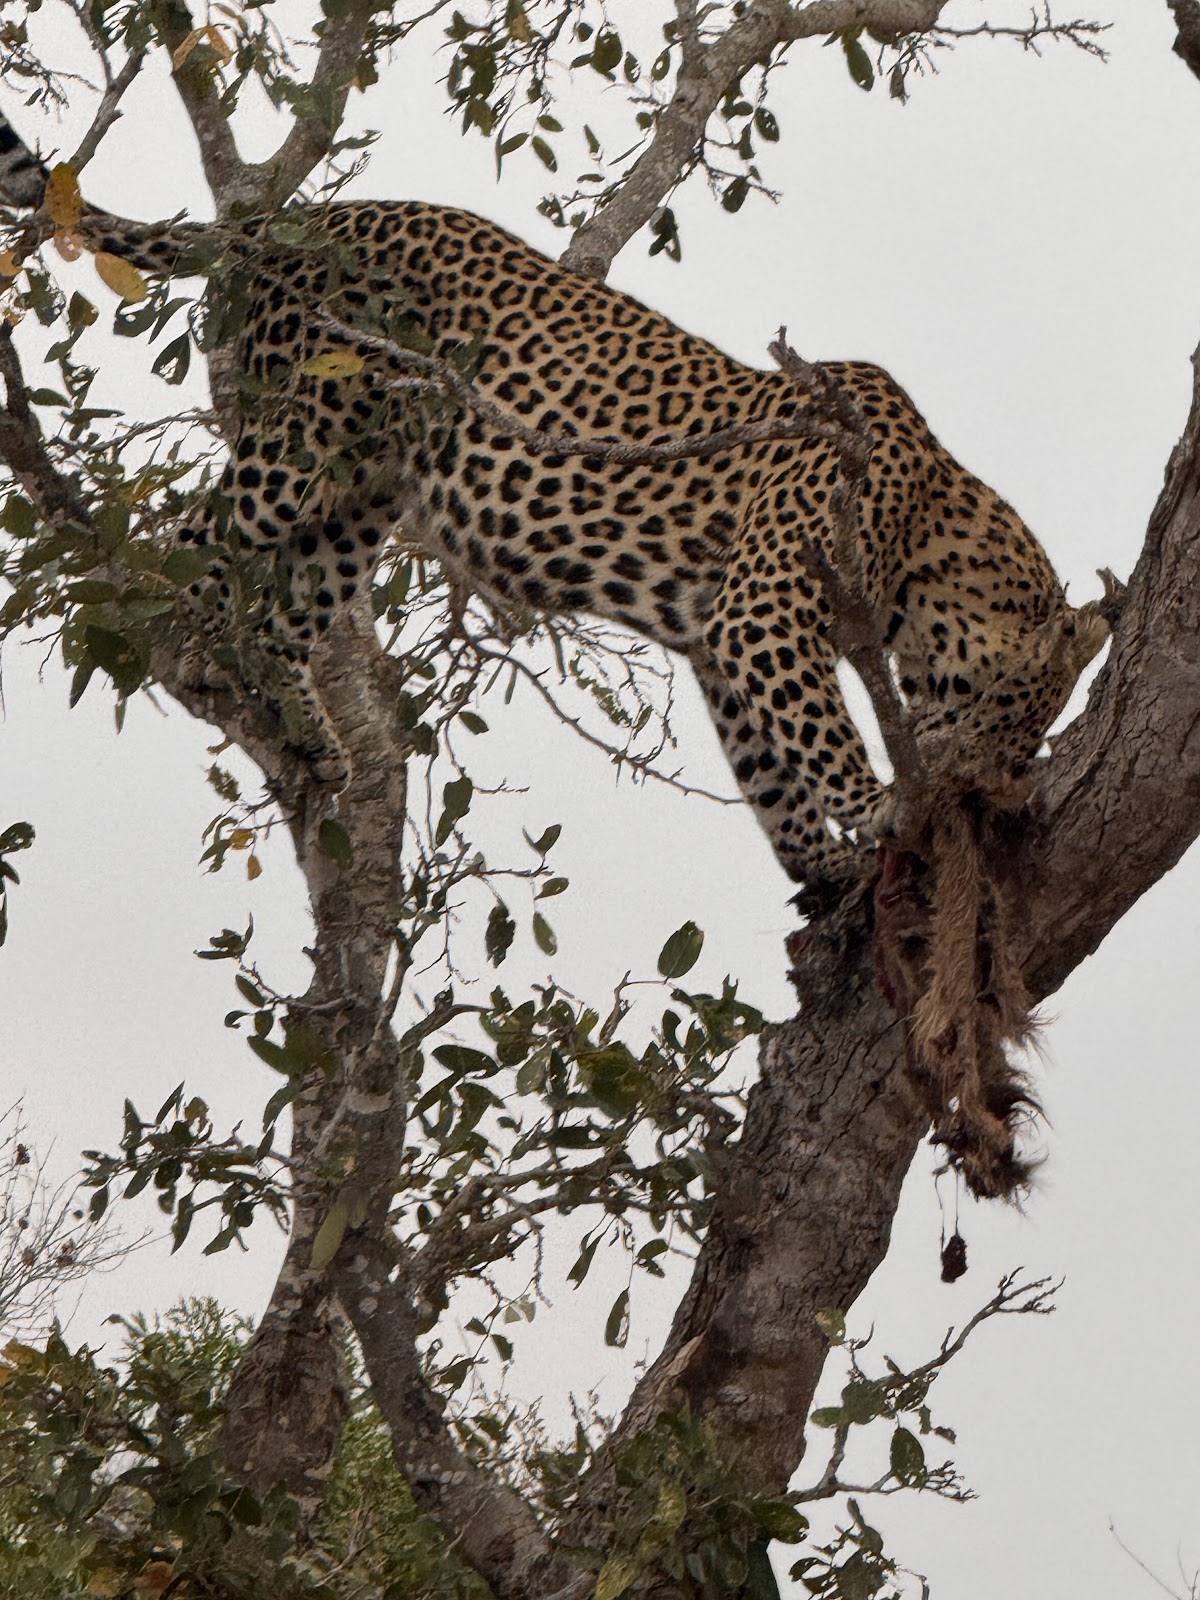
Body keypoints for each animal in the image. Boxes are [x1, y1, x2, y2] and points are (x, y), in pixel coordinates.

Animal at [0, 113, 1108, 890]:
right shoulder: (764, 606)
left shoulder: (719, 638)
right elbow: (816, 729)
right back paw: (172, 635)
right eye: (1019, 713)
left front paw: (822, 867)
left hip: (359, 498)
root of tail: (297, 219)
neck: (933, 521)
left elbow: (765, 764)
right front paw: (875, 805)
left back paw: (303, 725)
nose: (1004, 781)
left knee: (286, 605)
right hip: (297, 447)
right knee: (183, 536)